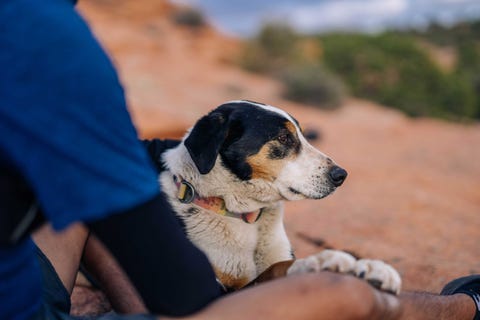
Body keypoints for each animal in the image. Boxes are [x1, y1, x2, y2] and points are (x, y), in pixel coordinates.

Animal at [158, 100, 402, 296]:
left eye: (303, 135)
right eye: (284, 138)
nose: (341, 175)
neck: (245, 217)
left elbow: (279, 265)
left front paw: (371, 268)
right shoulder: (216, 291)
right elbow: (271, 272)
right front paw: (322, 261)